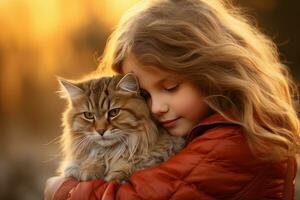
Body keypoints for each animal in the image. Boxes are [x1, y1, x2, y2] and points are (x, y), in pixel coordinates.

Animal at [56, 73, 185, 181]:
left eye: (114, 112)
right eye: (88, 115)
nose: (100, 131)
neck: (109, 152)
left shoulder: (162, 152)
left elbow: (132, 162)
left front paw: (115, 175)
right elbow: (90, 159)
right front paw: (89, 169)